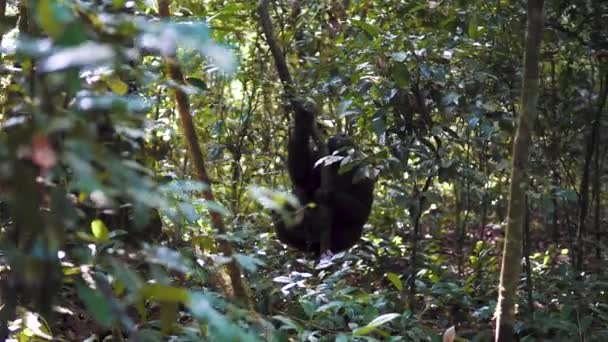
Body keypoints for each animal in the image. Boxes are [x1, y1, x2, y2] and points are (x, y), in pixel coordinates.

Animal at [274, 110, 372, 254]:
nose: (342, 134)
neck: (338, 162)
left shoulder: (364, 173)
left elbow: (363, 209)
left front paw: (329, 194)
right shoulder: (319, 158)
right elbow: (303, 179)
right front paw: (303, 119)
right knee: (284, 206)